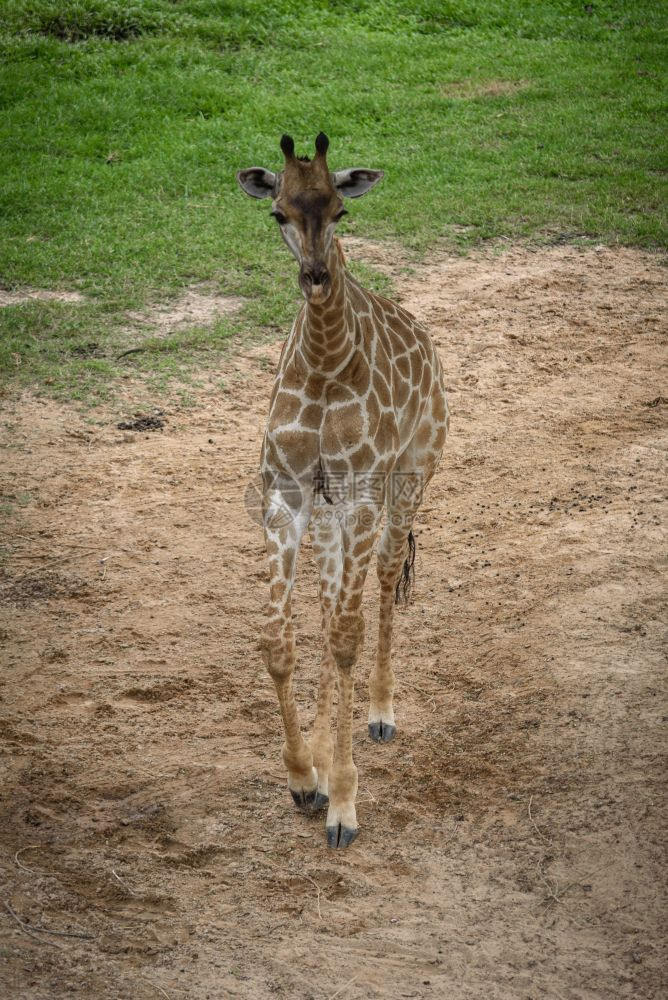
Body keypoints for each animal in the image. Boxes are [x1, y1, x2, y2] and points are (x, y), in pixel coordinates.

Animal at [236, 133, 448, 848]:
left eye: (340, 211)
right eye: (277, 213)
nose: (315, 277)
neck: (327, 360)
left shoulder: (360, 493)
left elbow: (347, 636)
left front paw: (345, 807)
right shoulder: (286, 495)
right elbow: (280, 641)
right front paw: (307, 778)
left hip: (414, 471)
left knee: (384, 573)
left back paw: (381, 714)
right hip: (332, 514)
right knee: (330, 609)